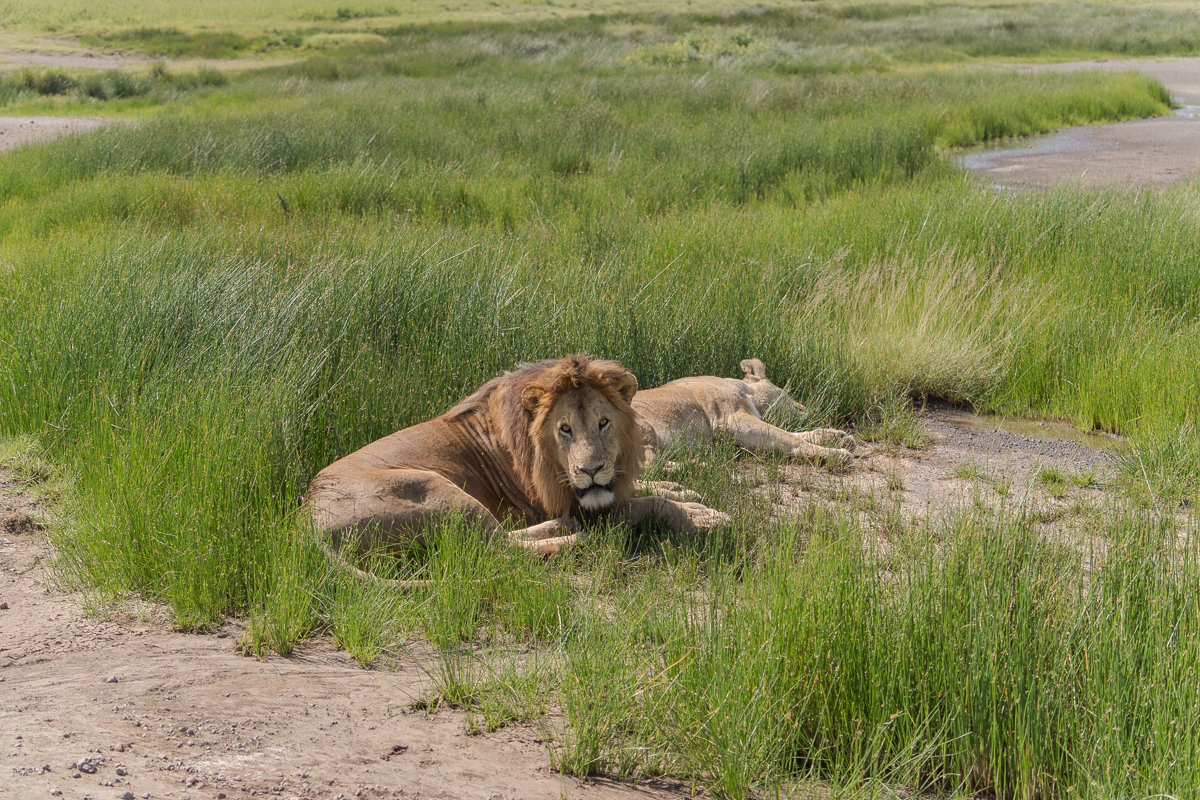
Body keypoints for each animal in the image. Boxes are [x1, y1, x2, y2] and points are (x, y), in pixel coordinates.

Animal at [306, 355, 730, 571]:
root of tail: (306, 520)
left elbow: (644, 489)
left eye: (603, 423)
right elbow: (645, 505)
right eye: (565, 429)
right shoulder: (573, 500)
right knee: (493, 548)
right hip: (435, 490)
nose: (591, 470)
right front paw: (704, 516)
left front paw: (682, 489)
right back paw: (569, 535)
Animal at [633, 359, 855, 495]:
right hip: (644, 426)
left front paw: (839, 437)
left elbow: (794, 434)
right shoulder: (733, 421)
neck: (748, 391)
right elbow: (790, 437)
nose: (804, 407)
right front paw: (837, 453)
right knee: (647, 467)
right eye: (787, 394)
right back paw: (703, 466)